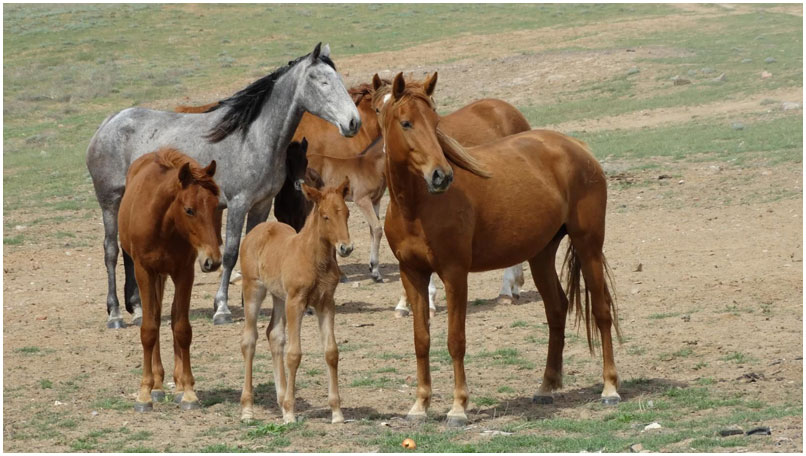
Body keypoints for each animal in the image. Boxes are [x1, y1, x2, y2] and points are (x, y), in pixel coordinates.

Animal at [87, 43, 360, 328]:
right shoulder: (238, 203)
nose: (353, 122)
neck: (252, 138)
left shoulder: (261, 204)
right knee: (111, 251)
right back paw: (115, 314)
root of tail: (109, 123)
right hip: (110, 202)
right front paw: (222, 309)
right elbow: (230, 253)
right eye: (323, 82)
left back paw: (139, 308)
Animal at [118, 147, 222, 411]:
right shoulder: (144, 271)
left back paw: (177, 384)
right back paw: (157, 386)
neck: (165, 225)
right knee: (155, 315)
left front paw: (188, 392)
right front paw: (145, 392)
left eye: (217, 207)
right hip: (154, 275)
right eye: (189, 210)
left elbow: (182, 328)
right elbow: (149, 328)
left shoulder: (184, 272)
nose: (213, 261)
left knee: (173, 317)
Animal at [238, 178, 352, 424]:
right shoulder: (296, 303)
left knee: (273, 334)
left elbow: (331, 352)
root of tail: (257, 230)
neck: (314, 259)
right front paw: (291, 412)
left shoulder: (326, 303)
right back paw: (248, 409)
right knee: (249, 340)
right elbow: (294, 354)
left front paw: (337, 412)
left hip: (279, 296)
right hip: (254, 289)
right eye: (325, 216)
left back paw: (280, 401)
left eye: (347, 213)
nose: (346, 248)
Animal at [369, 74, 531, 317]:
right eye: (377, 109)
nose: (389, 148)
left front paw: (430, 300)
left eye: (433, 120)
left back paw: (506, 290)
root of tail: (508, 109)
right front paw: (404, 303)